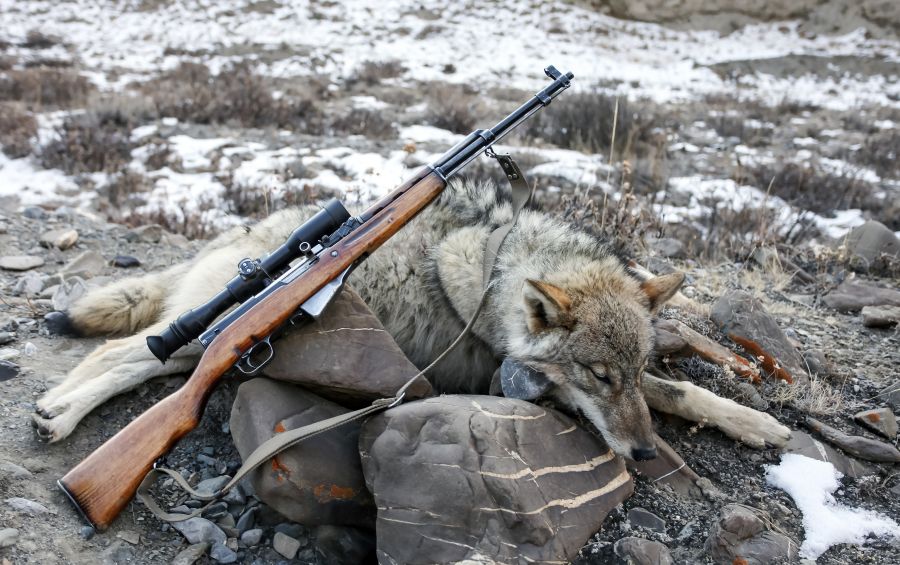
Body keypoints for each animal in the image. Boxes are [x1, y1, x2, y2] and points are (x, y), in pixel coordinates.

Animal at [33, 181, 796, 458]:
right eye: (598, 376)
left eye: (628, 374)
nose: (641, 456)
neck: (498, 264)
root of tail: (242, 242)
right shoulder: (510, 379)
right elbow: (679, 393)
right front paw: (759, 422)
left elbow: (680, 385)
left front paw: (753, 417)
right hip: (208, 344)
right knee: (123, 355)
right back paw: (60, 417)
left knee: (129, 357)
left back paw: (56, 411)